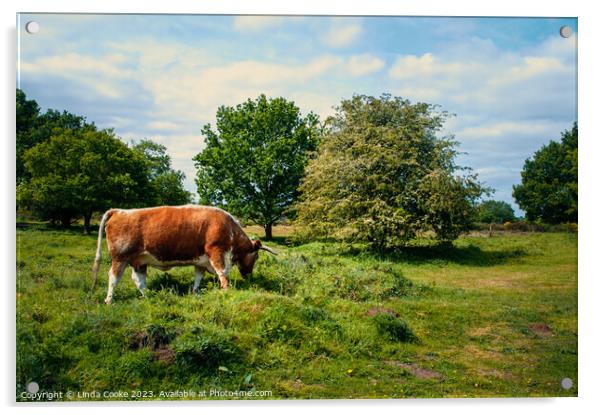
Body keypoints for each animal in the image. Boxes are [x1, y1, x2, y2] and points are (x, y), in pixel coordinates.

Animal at [91, 206, 276, 306]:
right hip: (120, 258)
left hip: (139, 261)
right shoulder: (217, 252)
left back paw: (150, 296)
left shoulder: (201, 262)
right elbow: (223, 273)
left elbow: (198, 278)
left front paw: (195, 292)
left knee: (139, 280)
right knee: (113, 278)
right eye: (257, 257)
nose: (249, 275)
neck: (230, 229)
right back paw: (109, 300)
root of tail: (118, 211)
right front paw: (226, 291)